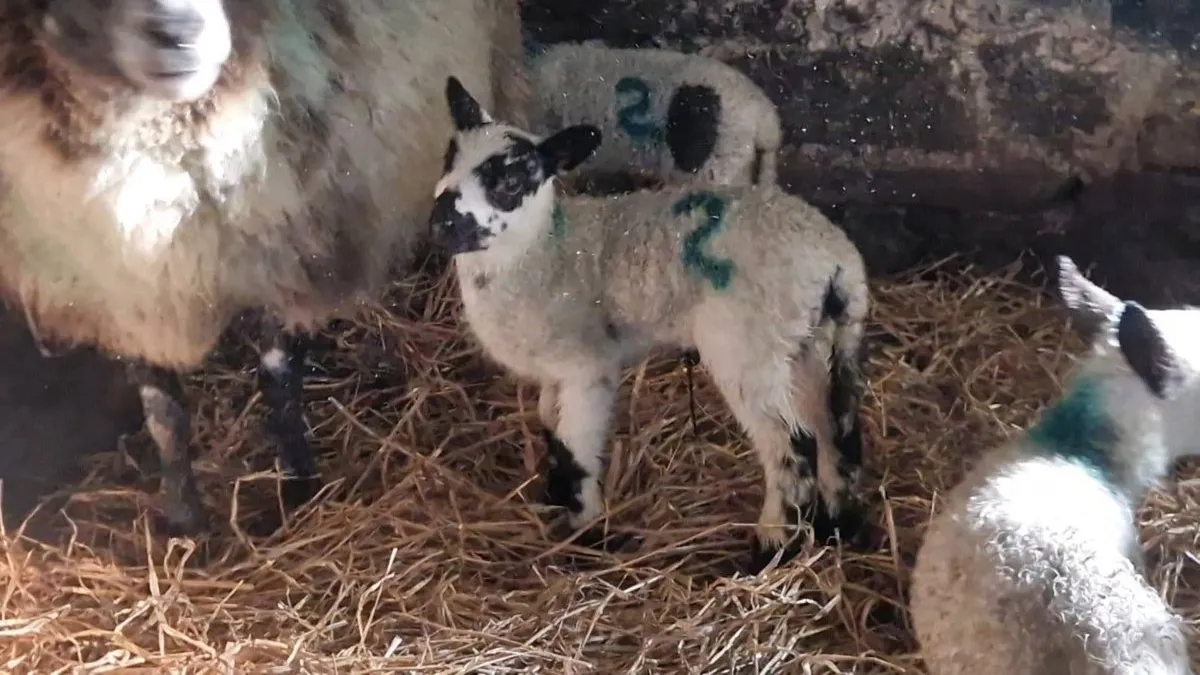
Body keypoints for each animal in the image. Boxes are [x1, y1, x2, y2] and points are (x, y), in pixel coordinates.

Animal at [0, 0, 531, 536]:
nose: (176, 31)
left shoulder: (292, 254)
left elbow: (279, 379)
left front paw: (297, 487)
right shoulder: (122, 292)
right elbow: (163, 411)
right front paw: (185, 519)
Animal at [427, 76, 870, 569]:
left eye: (511, 181)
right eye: (449, 157)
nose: (442, 221)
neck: (544, 251)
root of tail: (837, 263)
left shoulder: (587, 366)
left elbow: (575, 445)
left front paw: (585, 532)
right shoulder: (554, 370)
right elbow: (550, 426)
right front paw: (554, 497)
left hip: (748, 346)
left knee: (794, 445)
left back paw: (768, 550)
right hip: (812, 344)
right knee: (838, 433)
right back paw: (837, 527)